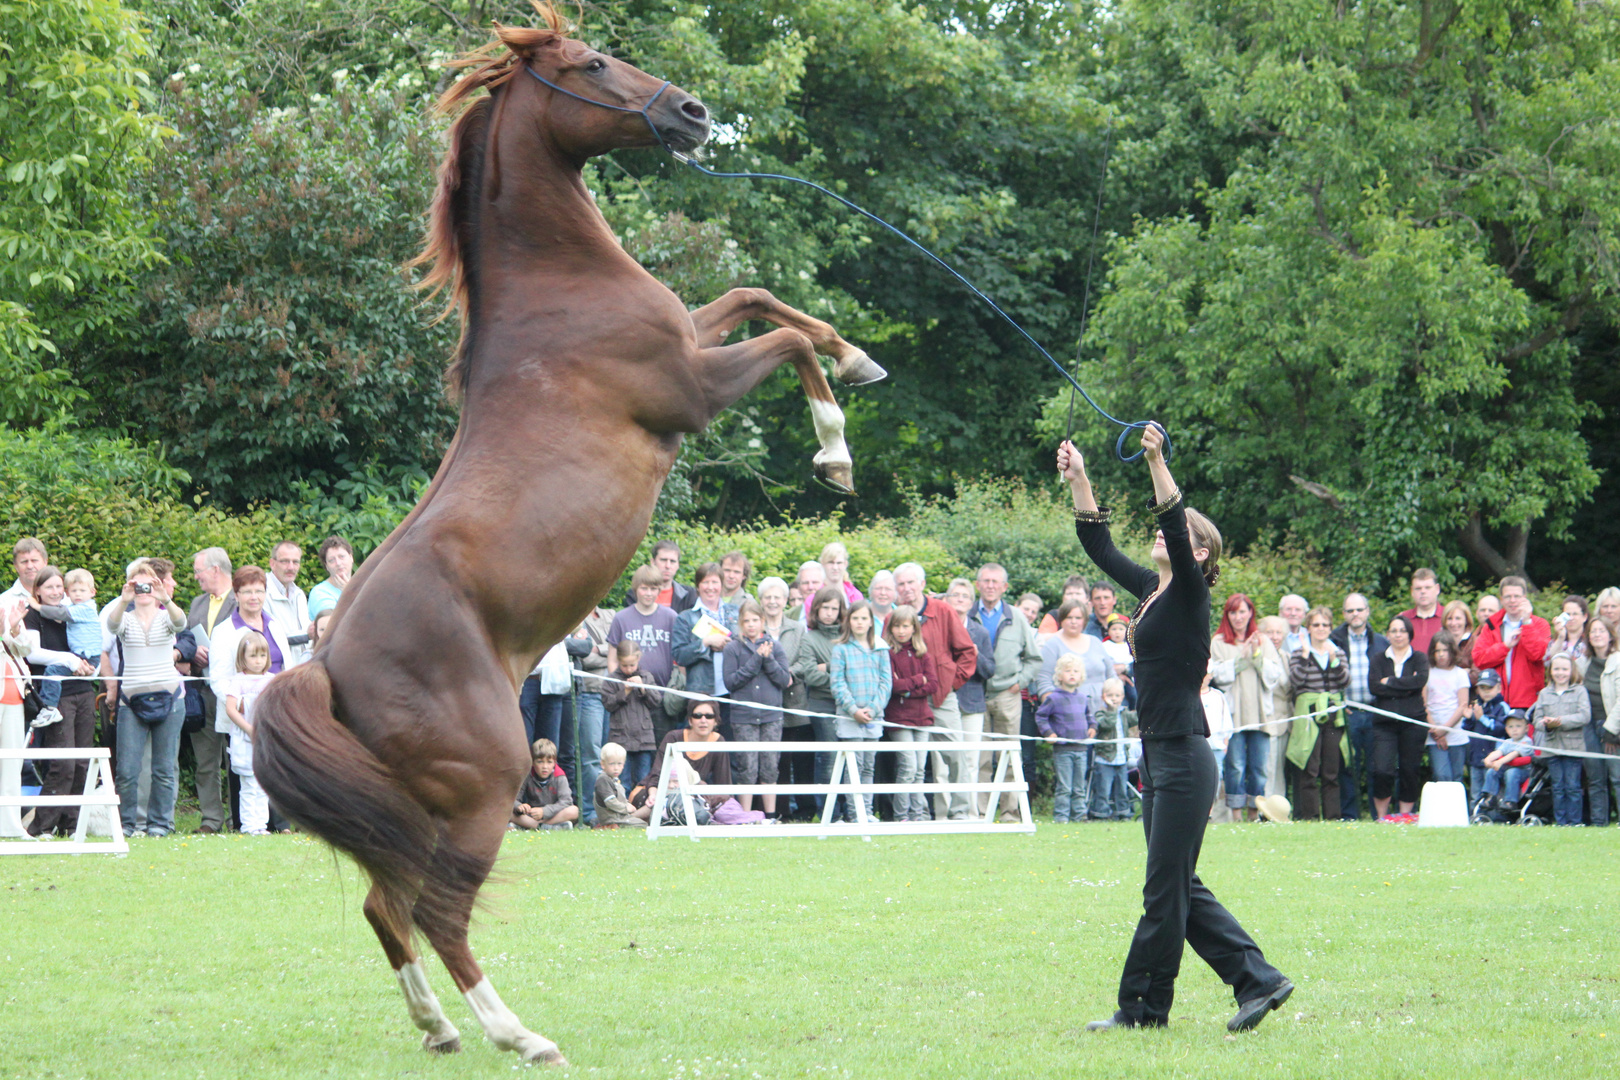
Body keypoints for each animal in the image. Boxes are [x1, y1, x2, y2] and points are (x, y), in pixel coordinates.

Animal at [252, 4, 881, 1068]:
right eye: (591, 64)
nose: (691, 112)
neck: (559, 296)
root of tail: (323, 666)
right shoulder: (691, 390)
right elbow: (784, 333)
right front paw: (834, 448)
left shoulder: (694, 332)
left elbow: (759, 297)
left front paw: (860, 357)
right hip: (485, 783)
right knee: (439, 909)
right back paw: (519, 1034)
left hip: (408, 803)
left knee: (387, 907)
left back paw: (438, 1028)